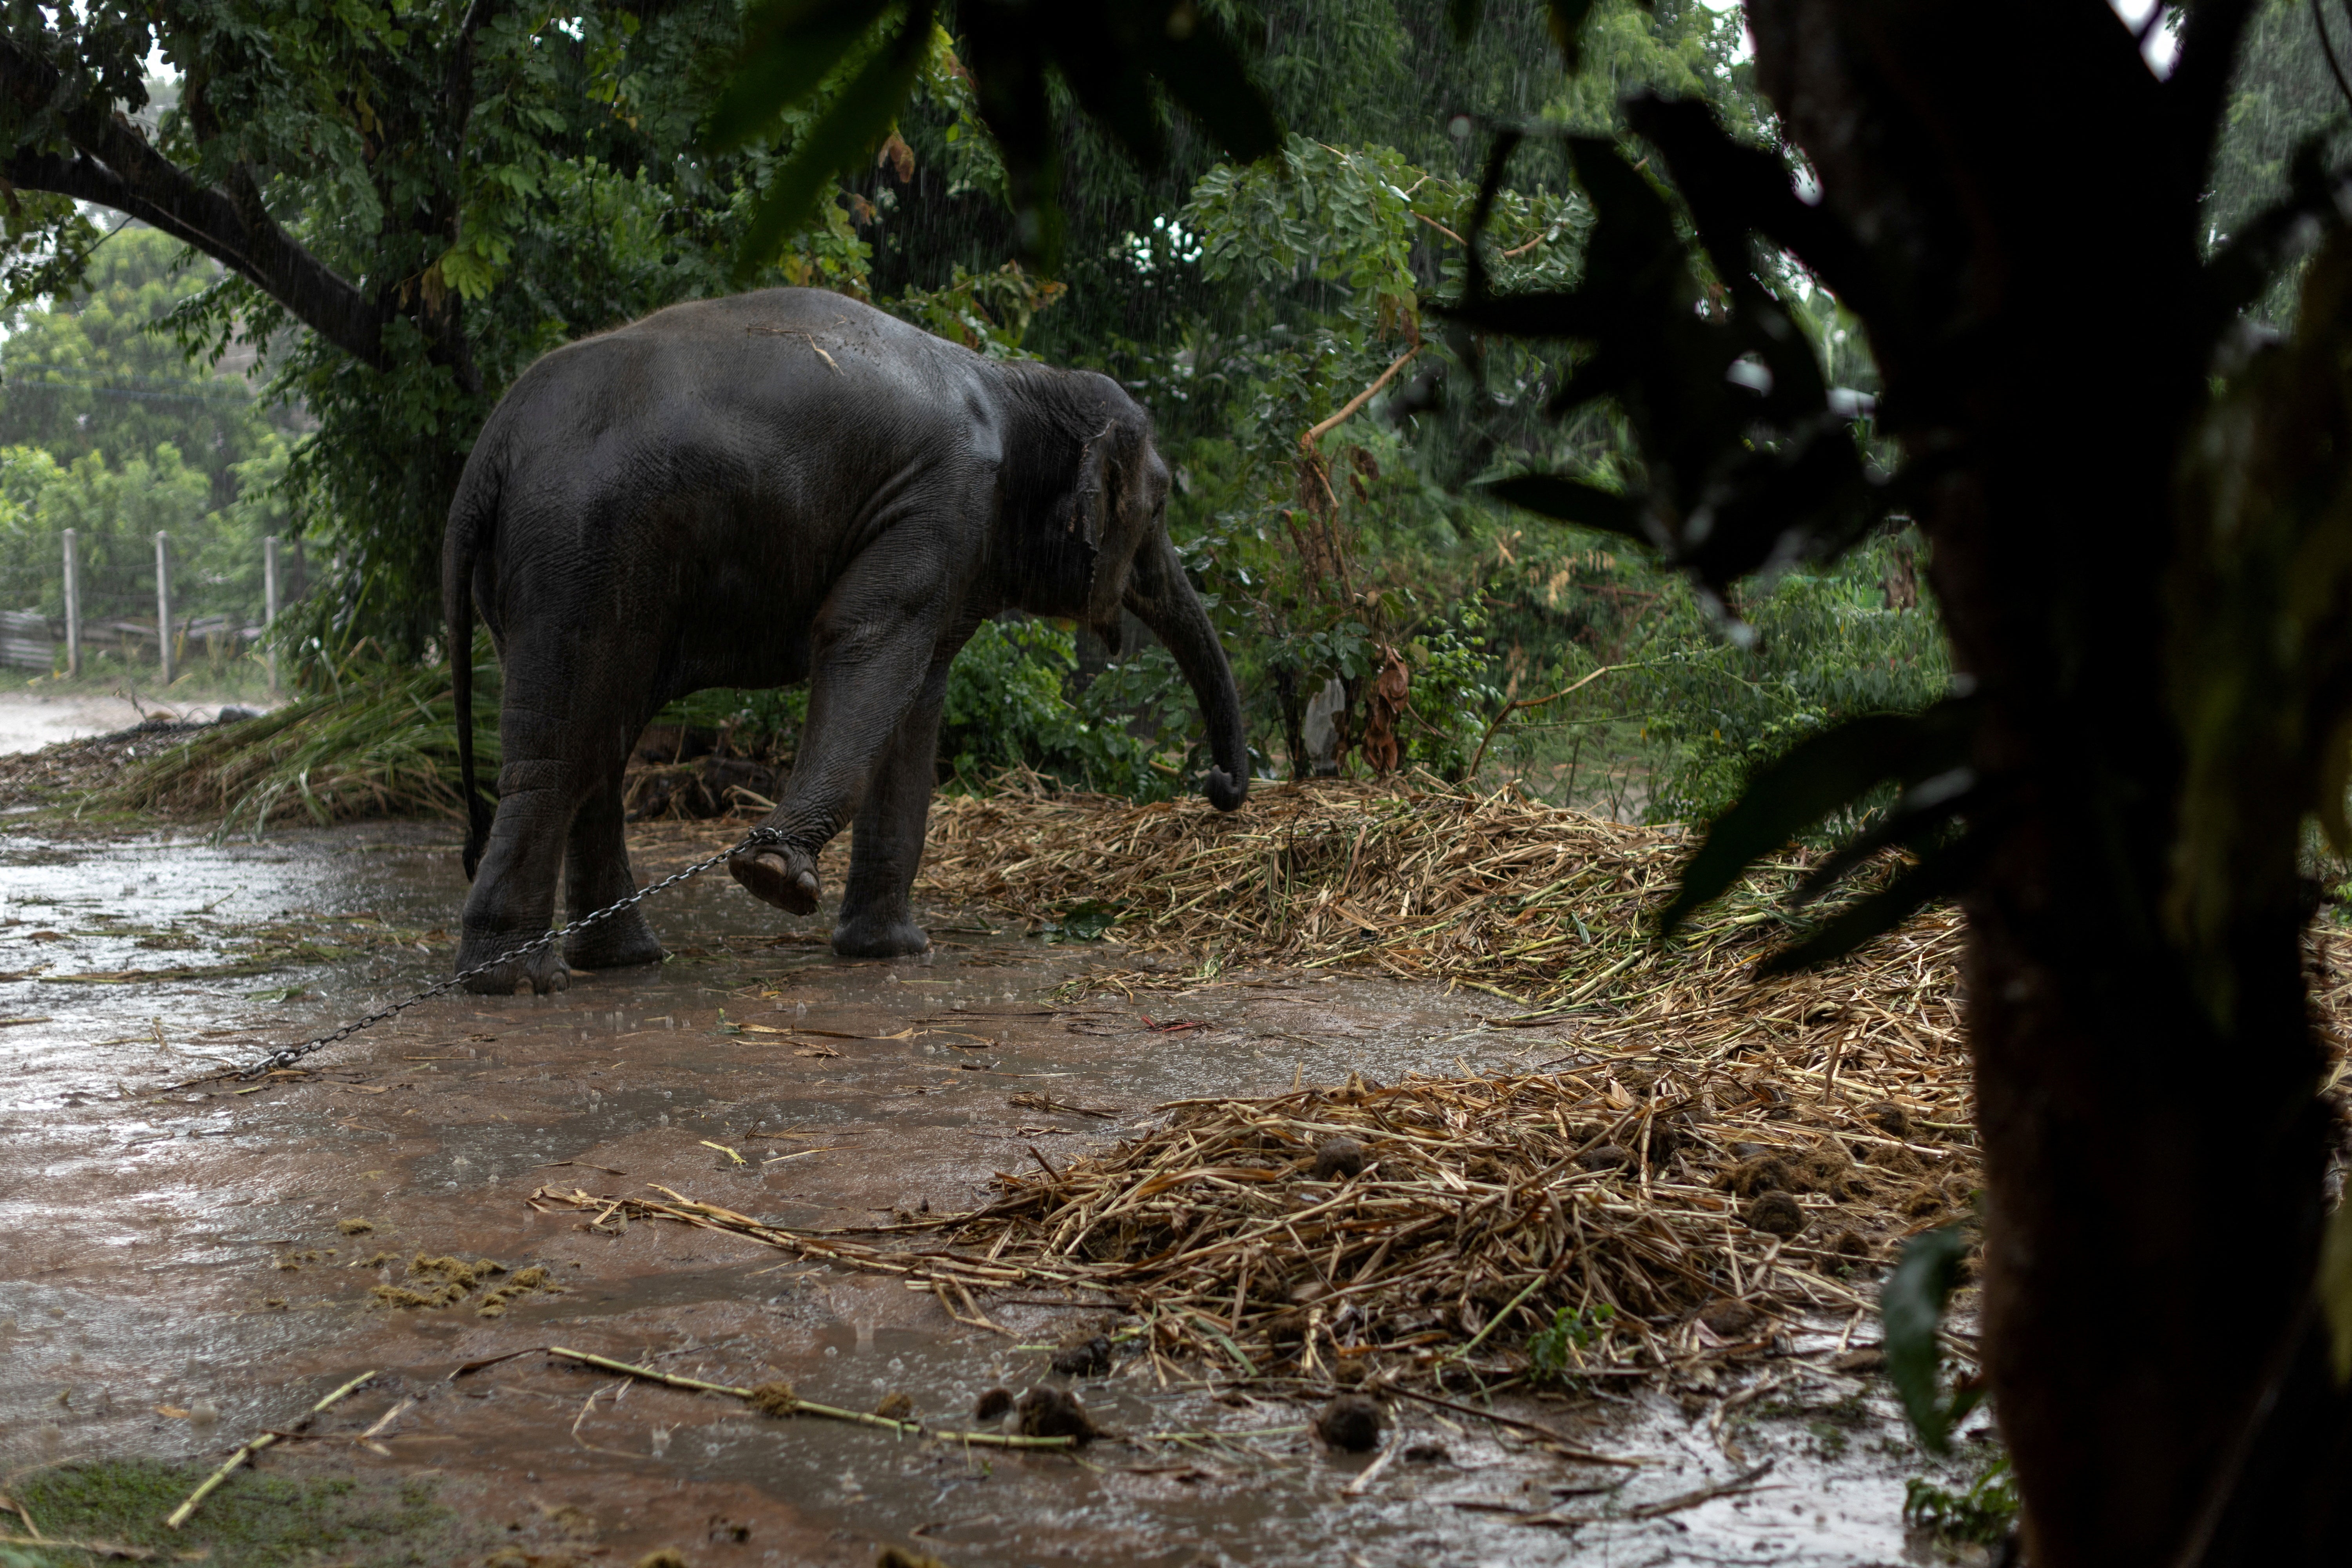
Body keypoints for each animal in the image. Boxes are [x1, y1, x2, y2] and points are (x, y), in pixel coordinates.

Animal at [442, 288, 1251, 992]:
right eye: (1161, 507)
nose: (1218, 787)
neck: (1022, 383)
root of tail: (488, 452)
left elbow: (916, 706)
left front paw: (889, 950)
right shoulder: (945, 500)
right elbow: (867, 644)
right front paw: (775, 878)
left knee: (598, 736)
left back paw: (621, 961)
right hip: (584, 547)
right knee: (561, 749)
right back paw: (518, 981)